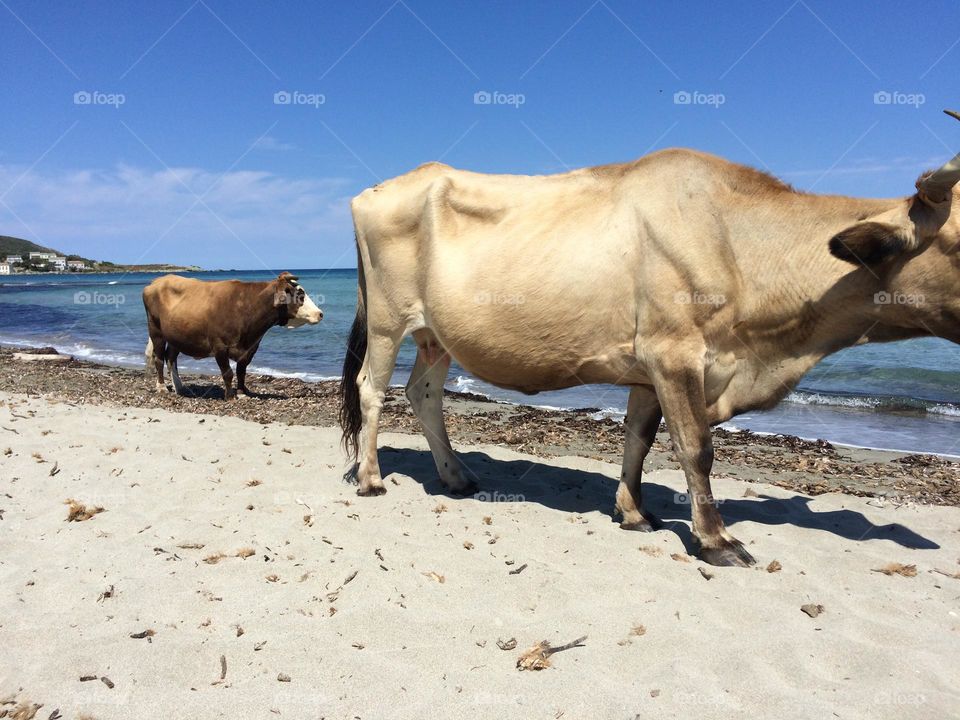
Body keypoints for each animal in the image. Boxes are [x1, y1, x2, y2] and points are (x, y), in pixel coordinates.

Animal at [144, 272, 322, 399]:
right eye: (300, 295)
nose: (320, 313)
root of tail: (156, 282)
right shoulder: (219, 346)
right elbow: (228, 372)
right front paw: (230, 396)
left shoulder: (250, 348)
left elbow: (241, 371)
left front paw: (242, 392)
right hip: (156, 330)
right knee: (159, 358)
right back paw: (161, 387)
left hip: (177, 336)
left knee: (171, 357)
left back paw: (179, 387)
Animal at [338, 110, 960, 566]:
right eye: (956, 243)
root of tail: (378, 188)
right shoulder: (675, 353)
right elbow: (696, 447)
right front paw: (716, 540)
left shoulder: (648, 366)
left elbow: (638, 438)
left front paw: (633, 513)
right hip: (390, 318)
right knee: (373, 388)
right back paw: (370, 479)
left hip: (436, 334)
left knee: (423, 393)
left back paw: (457, 476)